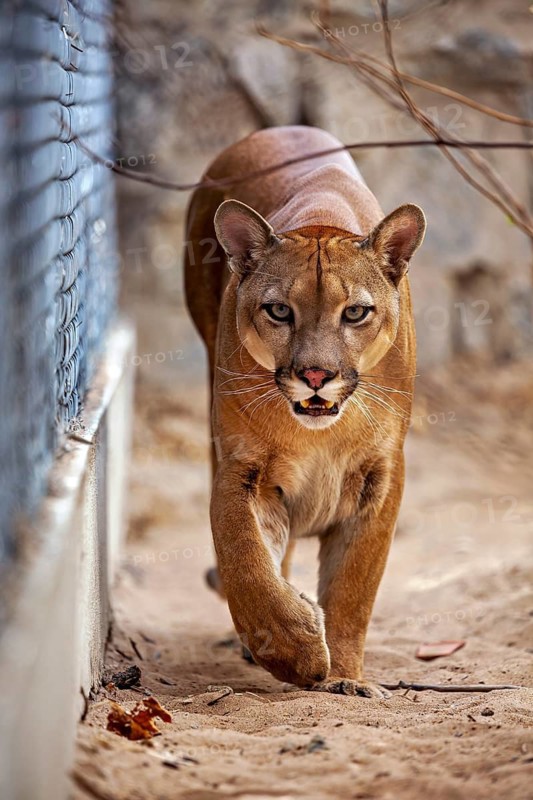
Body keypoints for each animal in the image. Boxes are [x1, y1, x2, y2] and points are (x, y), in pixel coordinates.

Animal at [184, 126, 426, 697]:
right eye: (279, 310)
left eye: (355, 312)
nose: (316, 376)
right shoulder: (242, 468)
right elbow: (245, 560)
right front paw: (296, 651)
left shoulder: (382, 475)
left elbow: (354, 586)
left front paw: (343, 677)